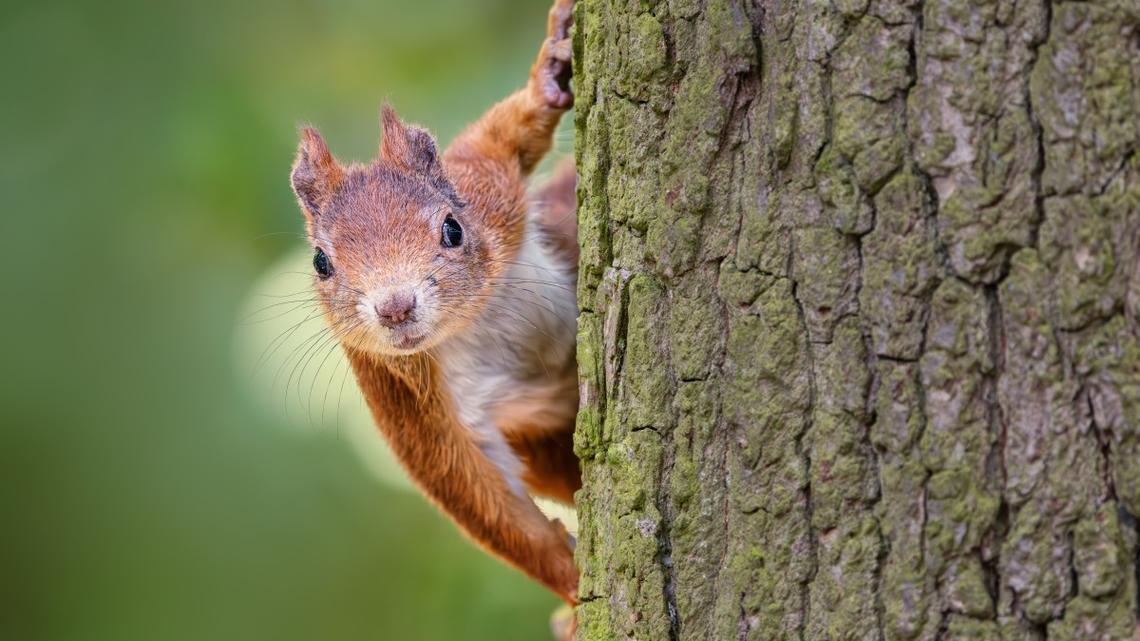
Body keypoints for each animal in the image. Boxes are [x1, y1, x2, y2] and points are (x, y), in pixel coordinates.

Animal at [288, 0, 581, 614]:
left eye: (452, 227)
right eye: (321, 263)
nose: (395, 308)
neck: (472, 324)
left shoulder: (491, 195)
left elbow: (500, 138)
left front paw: (548, 71)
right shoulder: (402, 391)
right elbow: (474, 489)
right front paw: (575, 584)